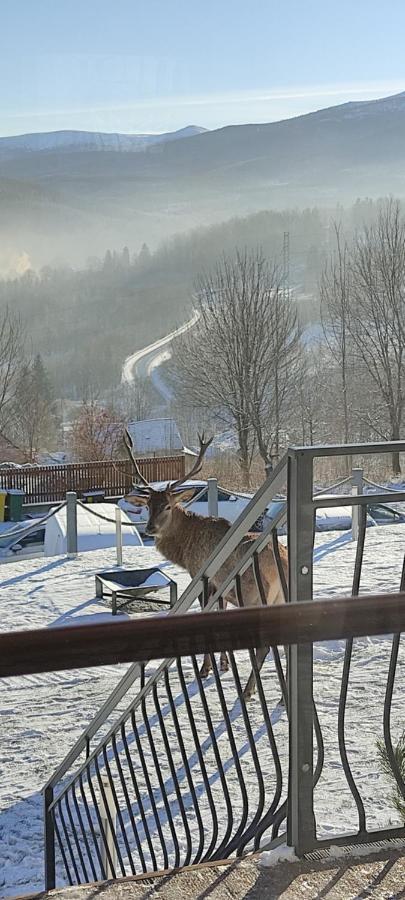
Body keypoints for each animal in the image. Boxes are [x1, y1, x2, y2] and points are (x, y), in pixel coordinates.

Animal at [123, 430, 288, 704]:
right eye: (148, 506)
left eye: (168, 506)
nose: (149, 528)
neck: (185, 549)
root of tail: (282, 563)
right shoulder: (220, 586)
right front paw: (223, 664)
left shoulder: (202, 576)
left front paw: (206, 668)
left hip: (255, 594)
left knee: (264, 643)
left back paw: (247, 691)